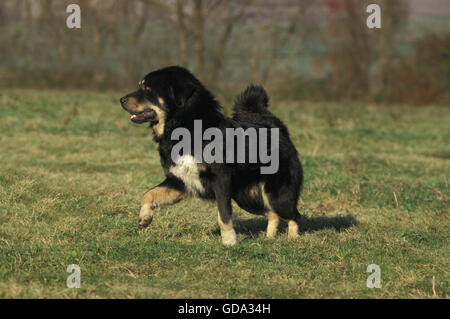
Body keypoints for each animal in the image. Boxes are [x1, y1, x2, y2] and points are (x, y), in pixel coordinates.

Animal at [119, 64, 302, 245]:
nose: (121, 100)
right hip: (246, 197)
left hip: (277, 196)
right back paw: (269, 239)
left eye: (147, 88)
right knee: (273, 214)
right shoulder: (180, 181)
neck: (186, 128)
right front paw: (144, 218)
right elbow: (148, 194)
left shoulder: (220, 180)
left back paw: (292, 240)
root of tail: (277, 127)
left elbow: (224, 216)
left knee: (293, 215)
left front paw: (229, 242)